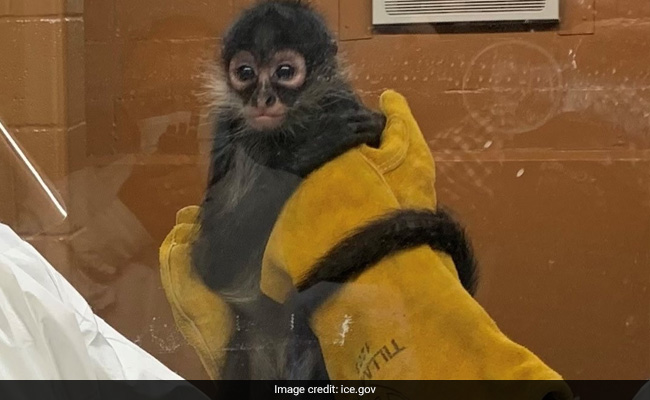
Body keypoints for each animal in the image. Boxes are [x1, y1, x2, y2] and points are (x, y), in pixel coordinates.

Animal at [191, 0, 477, 380]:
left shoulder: (344, 101)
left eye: (285, 71)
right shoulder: (227, 127)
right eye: (246, 72)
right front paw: (314, 145)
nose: (262, 98)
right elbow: (211, 264)